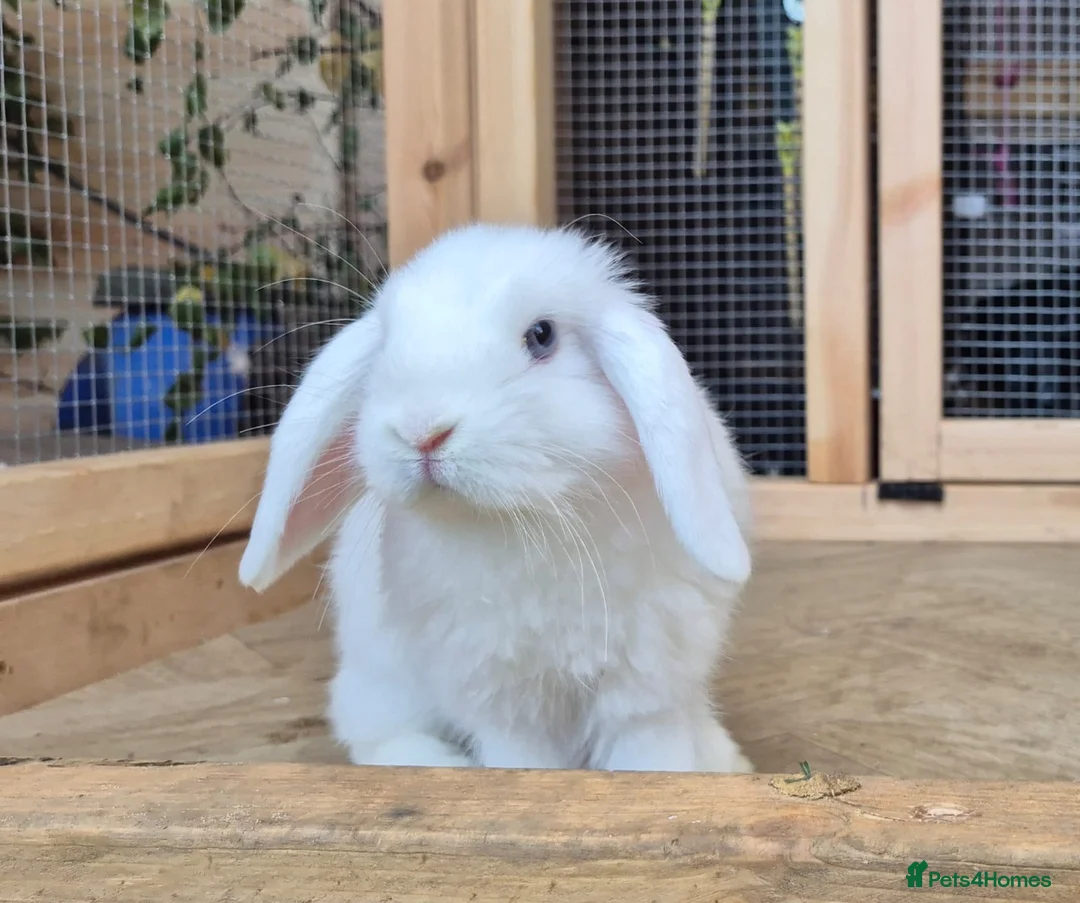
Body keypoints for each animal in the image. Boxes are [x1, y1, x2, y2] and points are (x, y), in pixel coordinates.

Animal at [239, 222, 755, 773]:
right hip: (379, 684)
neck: (532, 521)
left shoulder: (647, 690)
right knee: (377, 737)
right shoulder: (505, 702)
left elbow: (654, 759)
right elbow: (521, 761)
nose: (422, 431)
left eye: (542, 335)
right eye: (386, 344)